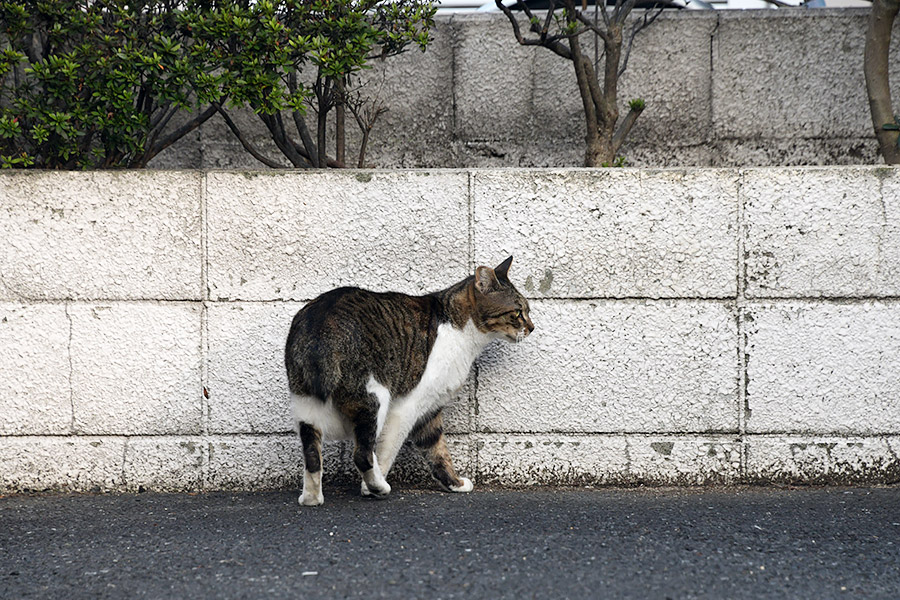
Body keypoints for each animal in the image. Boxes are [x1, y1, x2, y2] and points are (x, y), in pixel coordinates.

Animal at [284, 255, 532, 504]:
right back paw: (379, 487)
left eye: (528, 310)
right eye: (518, 312)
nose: (531, 327)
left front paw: (455, 483)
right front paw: (369, 489)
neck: (460, 329)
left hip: (305, 405)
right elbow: (387, 451)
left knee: (312, 455)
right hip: (374, 397)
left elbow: (437, 449)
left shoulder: (430, 408)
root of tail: (321, 323)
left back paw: (311, 498)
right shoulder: (407, 406)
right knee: (362, 454)